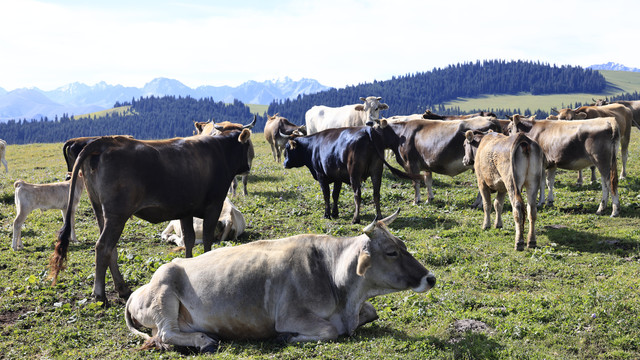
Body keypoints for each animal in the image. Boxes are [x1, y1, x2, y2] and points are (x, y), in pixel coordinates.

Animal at [48, 130, 254, 304]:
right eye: (247, 145)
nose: (247, 167)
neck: (219, 150)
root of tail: (105, 141)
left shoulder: (186, 211)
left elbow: (188, 240)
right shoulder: (214, 205)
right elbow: (207, 242)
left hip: (100, 211)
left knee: (110, 250)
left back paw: (122, 288)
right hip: (117, 215)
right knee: (103, 246)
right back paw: (100, 295)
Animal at [124, 210, 436, 352]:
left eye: (403, 244)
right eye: (392, 251)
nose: (430, 277)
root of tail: (137, 291)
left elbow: (371, 313)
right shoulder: (290, 315)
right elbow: (329, 330)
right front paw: (286, 337)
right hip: (164, 294)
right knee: (166, 333)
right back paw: (205, 340)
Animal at [284, 119, 416, 224]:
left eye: (287, 148)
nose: (284, 164)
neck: (312, 147)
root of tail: (367, 130)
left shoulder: (321, 176)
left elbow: (326, 195)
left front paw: (327, 214)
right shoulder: (337, 178)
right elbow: (335, 195)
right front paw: (335, 213)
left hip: (354, 172)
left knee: (357, 194)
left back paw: (355, 219)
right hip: (376, 171)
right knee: (376, 193)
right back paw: (379, 216)